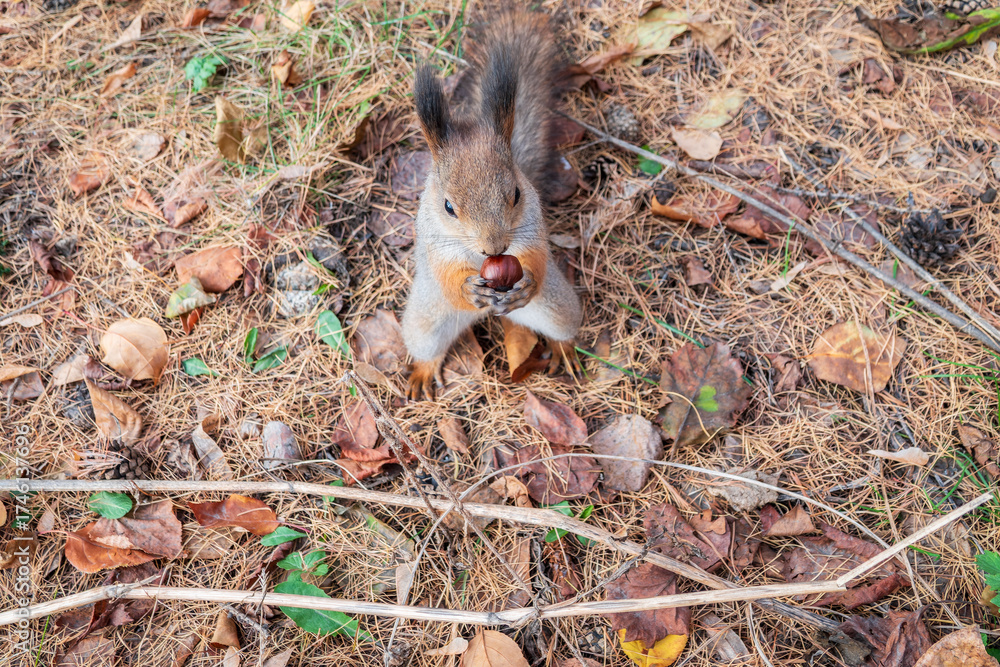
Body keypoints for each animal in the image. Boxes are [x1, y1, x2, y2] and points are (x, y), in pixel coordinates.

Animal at [401, 10, 582, 400]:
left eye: (516, 193)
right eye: (448, 206)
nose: (495, 248)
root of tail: (481, 315)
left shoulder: (532, 226)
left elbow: (537, 258)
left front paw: (527, 280)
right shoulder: (434, 243)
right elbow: (446, 276)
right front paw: (466, 288)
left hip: (555, 307)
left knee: (561, 325)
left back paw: (564, 348)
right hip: (426, 322)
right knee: (427, 346)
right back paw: (423, 371)